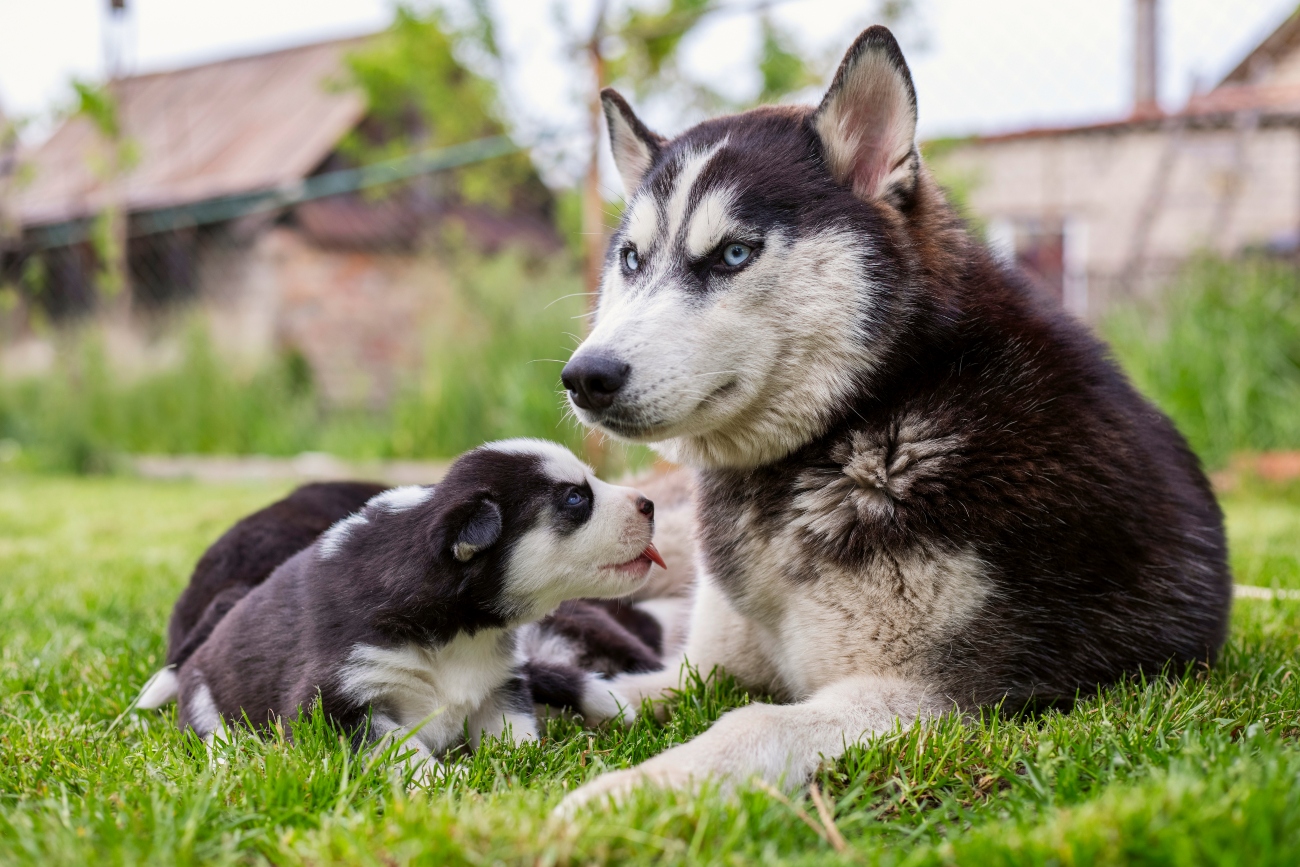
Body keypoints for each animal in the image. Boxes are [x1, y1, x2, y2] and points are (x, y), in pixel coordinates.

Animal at [167, 441, 660, 774]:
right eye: (575, 498)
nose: (650, 503)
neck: (459, 629)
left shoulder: (499, 683)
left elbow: (514, 735)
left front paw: (525, 767)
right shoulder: (334, 703)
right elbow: (401, 750)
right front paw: (447, 784)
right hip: (205, 700)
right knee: (216, 735)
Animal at [559, 28, 1227, 816]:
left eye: (733, 254)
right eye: (631, 259)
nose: (585, 376)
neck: (862, 422)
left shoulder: (931, 696)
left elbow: (751, 723)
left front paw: (625, 793)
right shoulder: (706, 664)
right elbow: (610, 690)